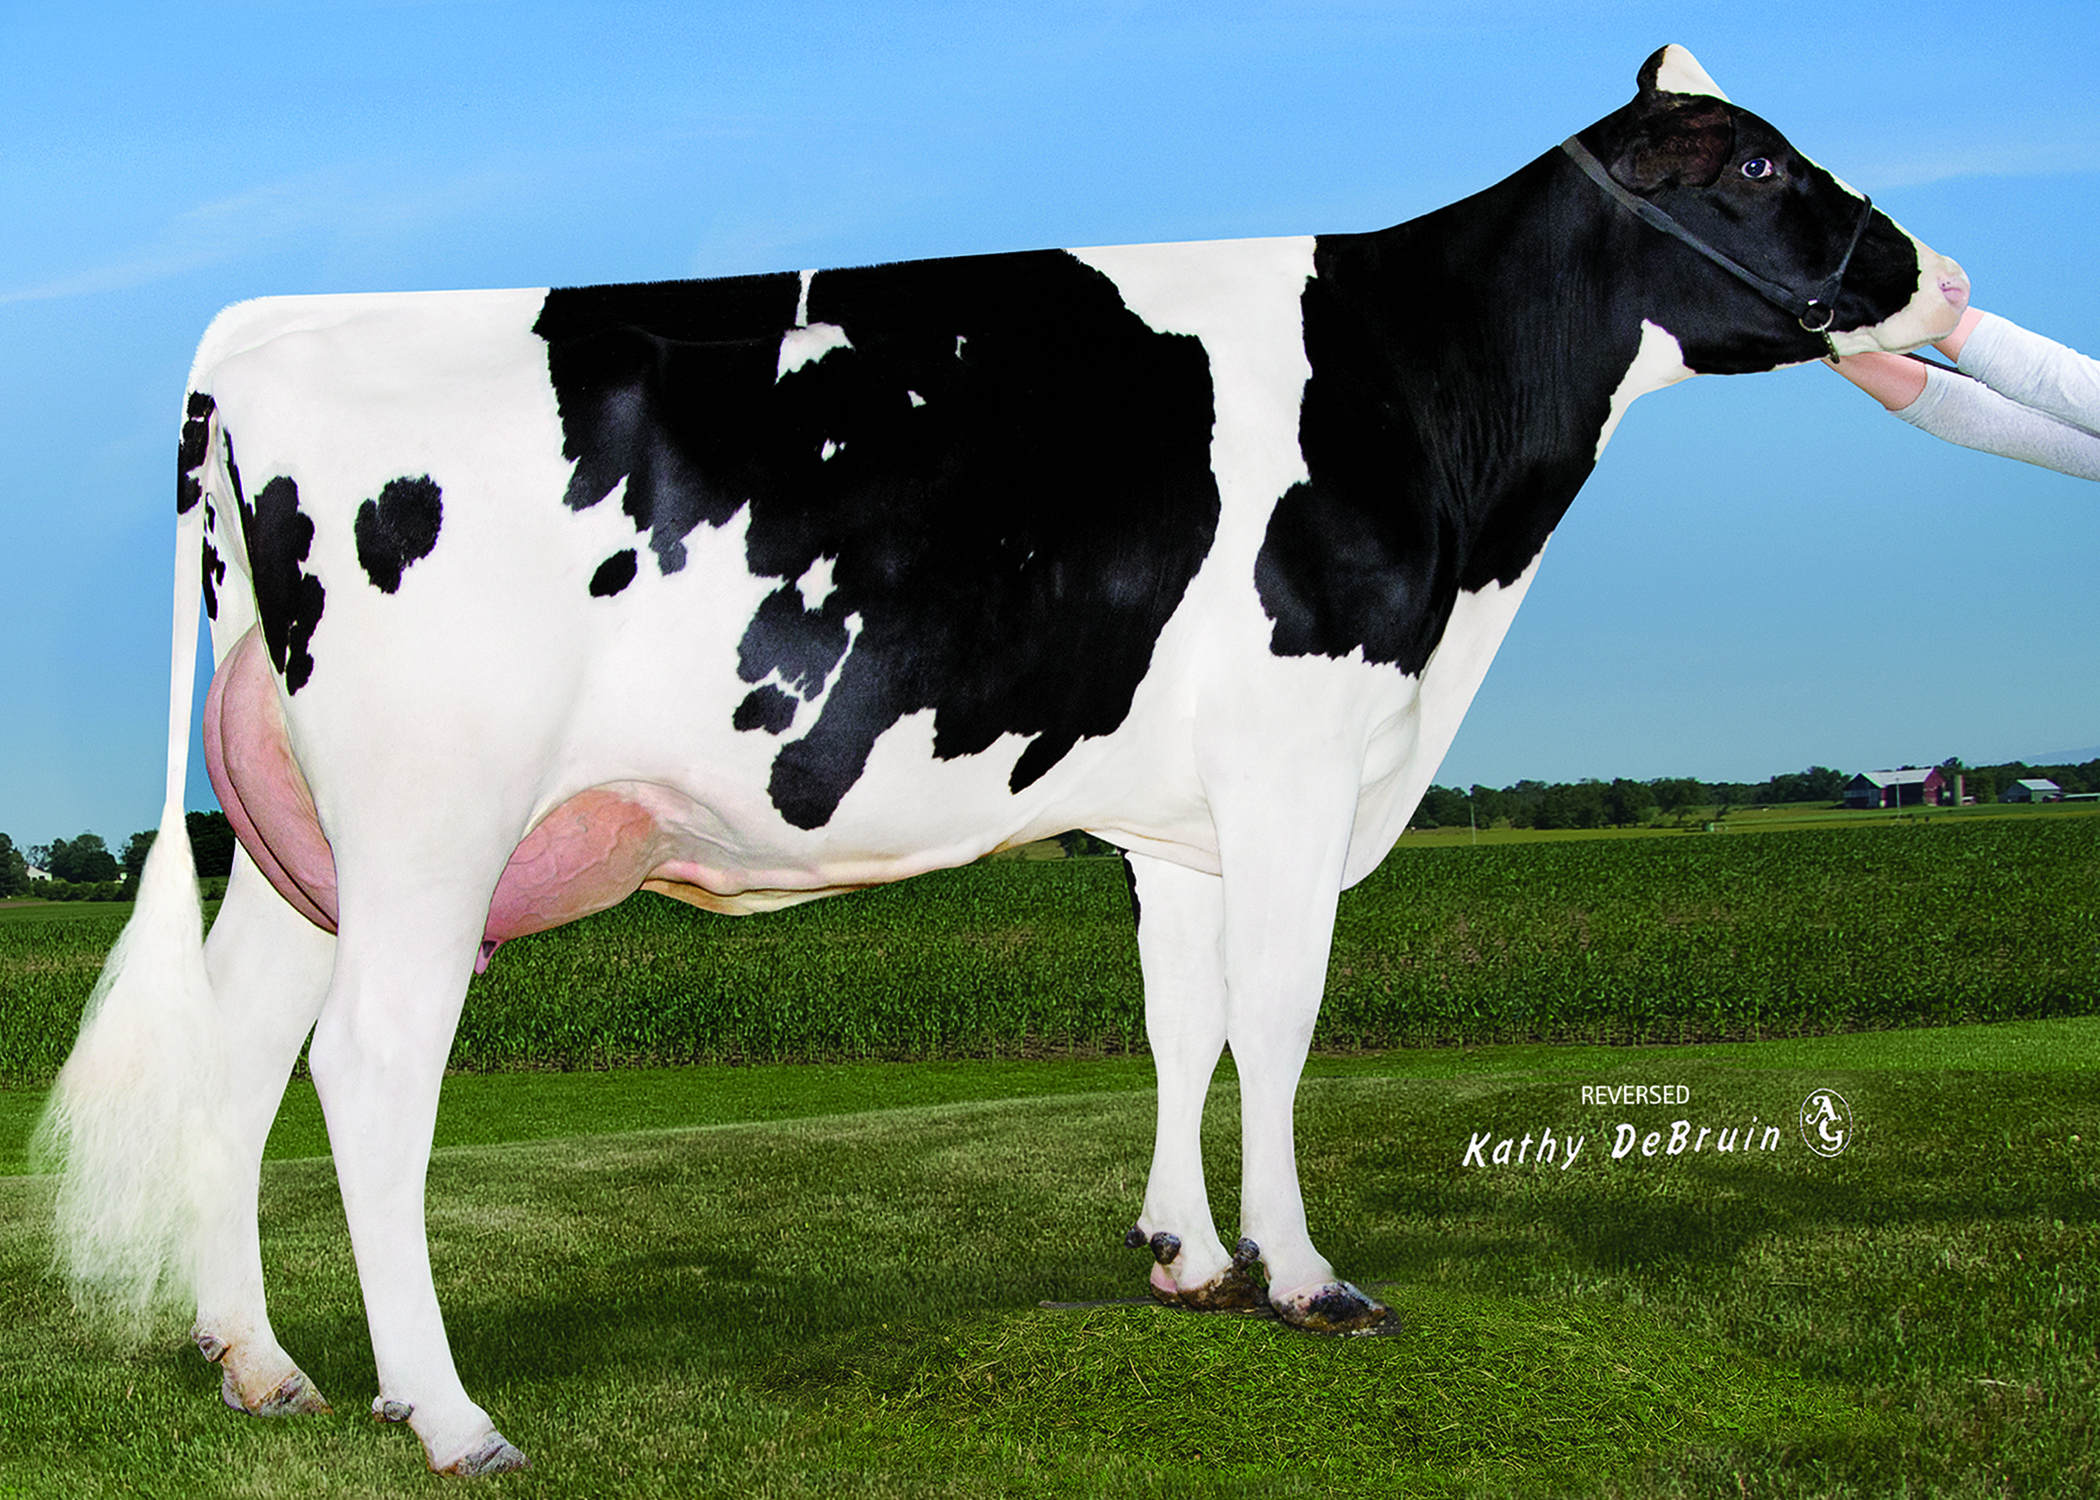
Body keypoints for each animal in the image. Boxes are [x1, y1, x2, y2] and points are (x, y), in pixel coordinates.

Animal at [41, 46, 1967, 1476]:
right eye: (1761, 166)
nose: (1934, 275)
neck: (1425, 404)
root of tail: (271, 328)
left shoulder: (1184, 818)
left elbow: (1184, 1019)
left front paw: (1189, 1256)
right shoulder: (1299, 750)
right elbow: (1280, 1018)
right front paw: (1311, 1278)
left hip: (299, 840)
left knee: (241, 1049)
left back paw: (258, 1363)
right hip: (433, 818)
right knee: (367, 1074)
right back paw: (445, 1414)